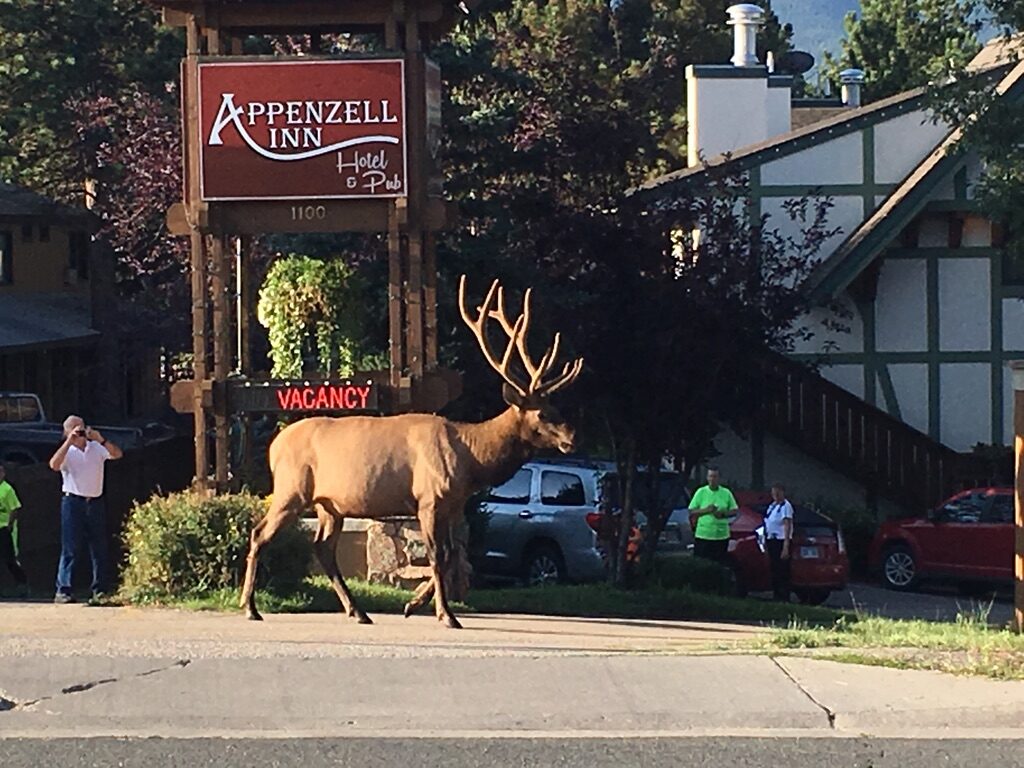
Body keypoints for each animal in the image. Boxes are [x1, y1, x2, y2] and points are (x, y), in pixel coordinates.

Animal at [239, 275, 584, 628]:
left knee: (322, 548)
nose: (571, 437)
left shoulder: (452, 505)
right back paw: (250, 607)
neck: (471, 460)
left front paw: (413, 604)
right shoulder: (429, 498)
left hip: (329, 505)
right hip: (291, 489)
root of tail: (273, 447)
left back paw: (358, 611)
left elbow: (453, 555)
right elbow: (436, 555)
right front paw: (446, 614)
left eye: (556, 406)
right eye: (542, 413)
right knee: (259, 533)